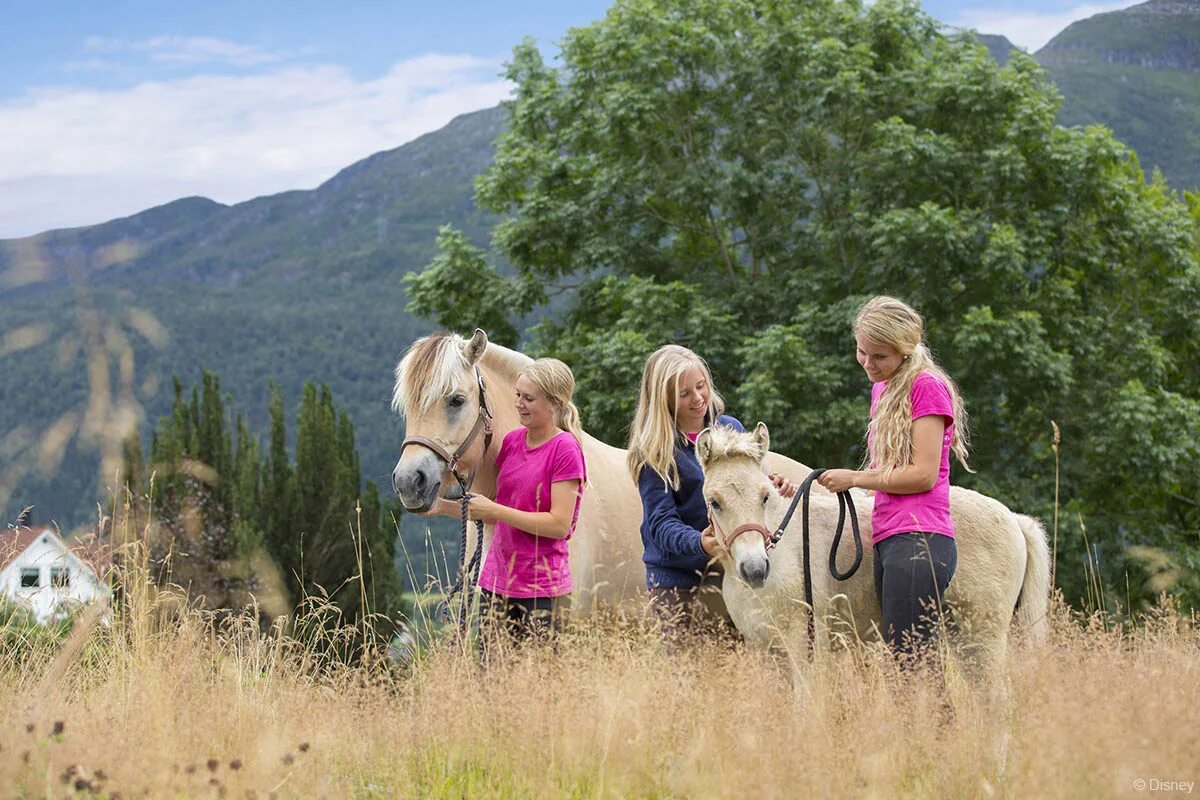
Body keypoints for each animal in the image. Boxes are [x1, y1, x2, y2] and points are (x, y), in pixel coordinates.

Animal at [696, 422, 1051, 681]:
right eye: (715, 502)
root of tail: (1014, 519)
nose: (755, 569)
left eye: (765, 496)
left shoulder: (805, 646)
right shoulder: (763, 650)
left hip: (981, 638)